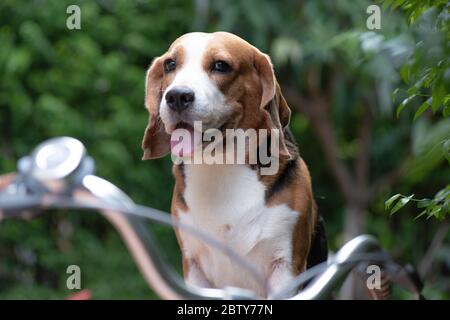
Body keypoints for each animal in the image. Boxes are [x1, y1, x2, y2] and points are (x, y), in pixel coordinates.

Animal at [141, 31, 326, 298]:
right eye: (170, 64)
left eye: (220, 66)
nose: (176, 96)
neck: (220, 165)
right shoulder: (193, 266)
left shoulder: (286, 266)